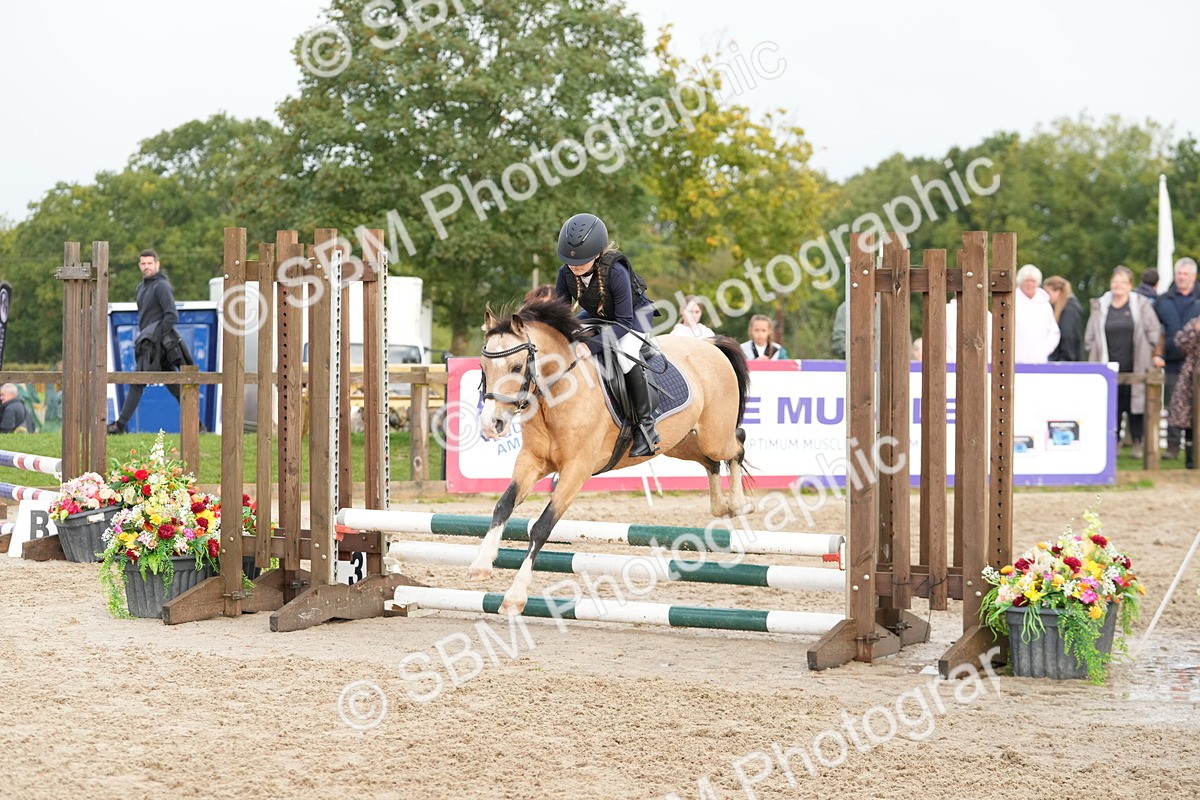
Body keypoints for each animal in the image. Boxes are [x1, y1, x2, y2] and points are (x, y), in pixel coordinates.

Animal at [471, 297, 751, 614]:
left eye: (517, 366)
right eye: (482, 366)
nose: (491, 424)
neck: (557, 394)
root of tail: (710, 345)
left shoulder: (576, 470)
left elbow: (542, 527)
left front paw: (514, 597)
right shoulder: (532, 461)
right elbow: (503, 506)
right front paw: (481, 564)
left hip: (713, 436)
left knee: (737, 444)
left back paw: (739, 504)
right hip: (678, 442)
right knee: (710, 461)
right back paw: (721, 507)